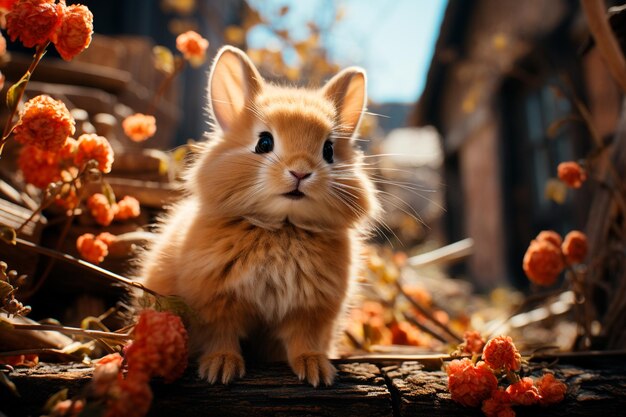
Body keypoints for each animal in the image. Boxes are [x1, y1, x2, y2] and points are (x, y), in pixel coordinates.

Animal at [138, 46, 378, 386]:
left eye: (329, 150)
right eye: (264, 142)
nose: (300, 172)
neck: (282, 227)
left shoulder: (310, 312)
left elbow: (303, 341)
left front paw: (316, 370)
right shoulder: (214, 304)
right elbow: (220, 337)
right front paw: (221, 368)